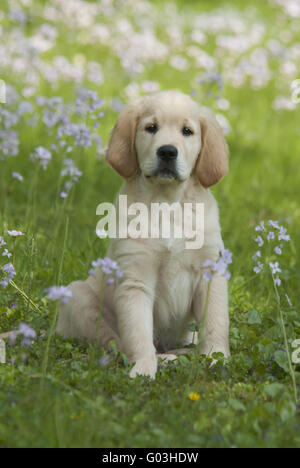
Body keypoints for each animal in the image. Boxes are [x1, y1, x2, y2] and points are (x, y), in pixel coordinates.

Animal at [56, 89, 230, 378]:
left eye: (187, 131)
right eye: (151, 128)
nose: (167, 151)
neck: (167, 203)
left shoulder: (210, 272)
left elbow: (216, 322)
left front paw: (217, 358)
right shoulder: (134, 278)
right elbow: (138, 333)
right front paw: (143, 369)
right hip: (78, 298)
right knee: (114, 344)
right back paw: (161, 359)